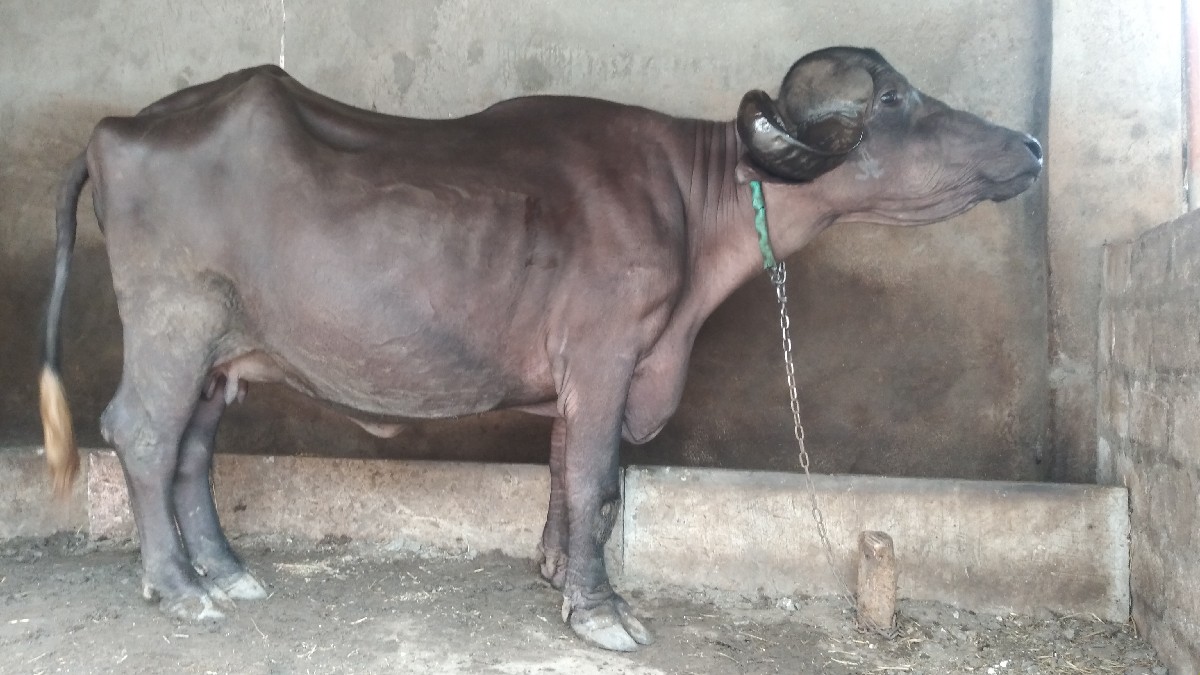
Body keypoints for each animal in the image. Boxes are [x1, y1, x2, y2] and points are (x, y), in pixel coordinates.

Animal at [39, 47, 1042, 651]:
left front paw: (558, 568)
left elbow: (567, 471)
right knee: (141, 433)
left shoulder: (584, 372)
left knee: (191, 451)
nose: (1030, 143)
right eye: (900, 99)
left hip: (226, 351)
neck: (695, 204)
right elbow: (597, 475)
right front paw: (601, 610)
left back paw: (228, 571)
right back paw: (180, 586)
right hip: (172, 321)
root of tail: (126, 124)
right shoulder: (607, 351)